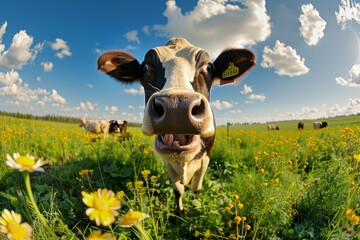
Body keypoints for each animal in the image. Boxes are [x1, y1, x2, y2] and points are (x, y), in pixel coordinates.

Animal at [97, 37, 256, 214]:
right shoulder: (167, 162)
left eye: (208, 67)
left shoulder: (207, 156)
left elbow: (196, 188)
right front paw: (180, 211)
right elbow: (178, 189)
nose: (177, 107)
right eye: (145, 67)